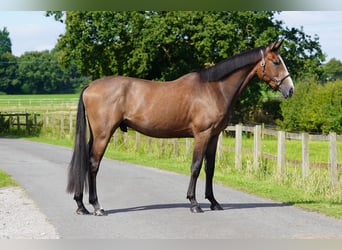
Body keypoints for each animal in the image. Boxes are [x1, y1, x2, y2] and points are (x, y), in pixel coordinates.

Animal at [67, 40, 294, 215]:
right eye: (276, 62)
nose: (290, 89)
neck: (214, 89)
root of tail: (90, 87)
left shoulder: (214, 136)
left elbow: (210, 168)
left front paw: (214, 202)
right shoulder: (202, 135)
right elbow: (195, 167)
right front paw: (194, 203)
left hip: (95, 135)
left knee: (86, 162)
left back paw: (81, 205)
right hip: (103, 135)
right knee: (94, 164)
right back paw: (97, 207)